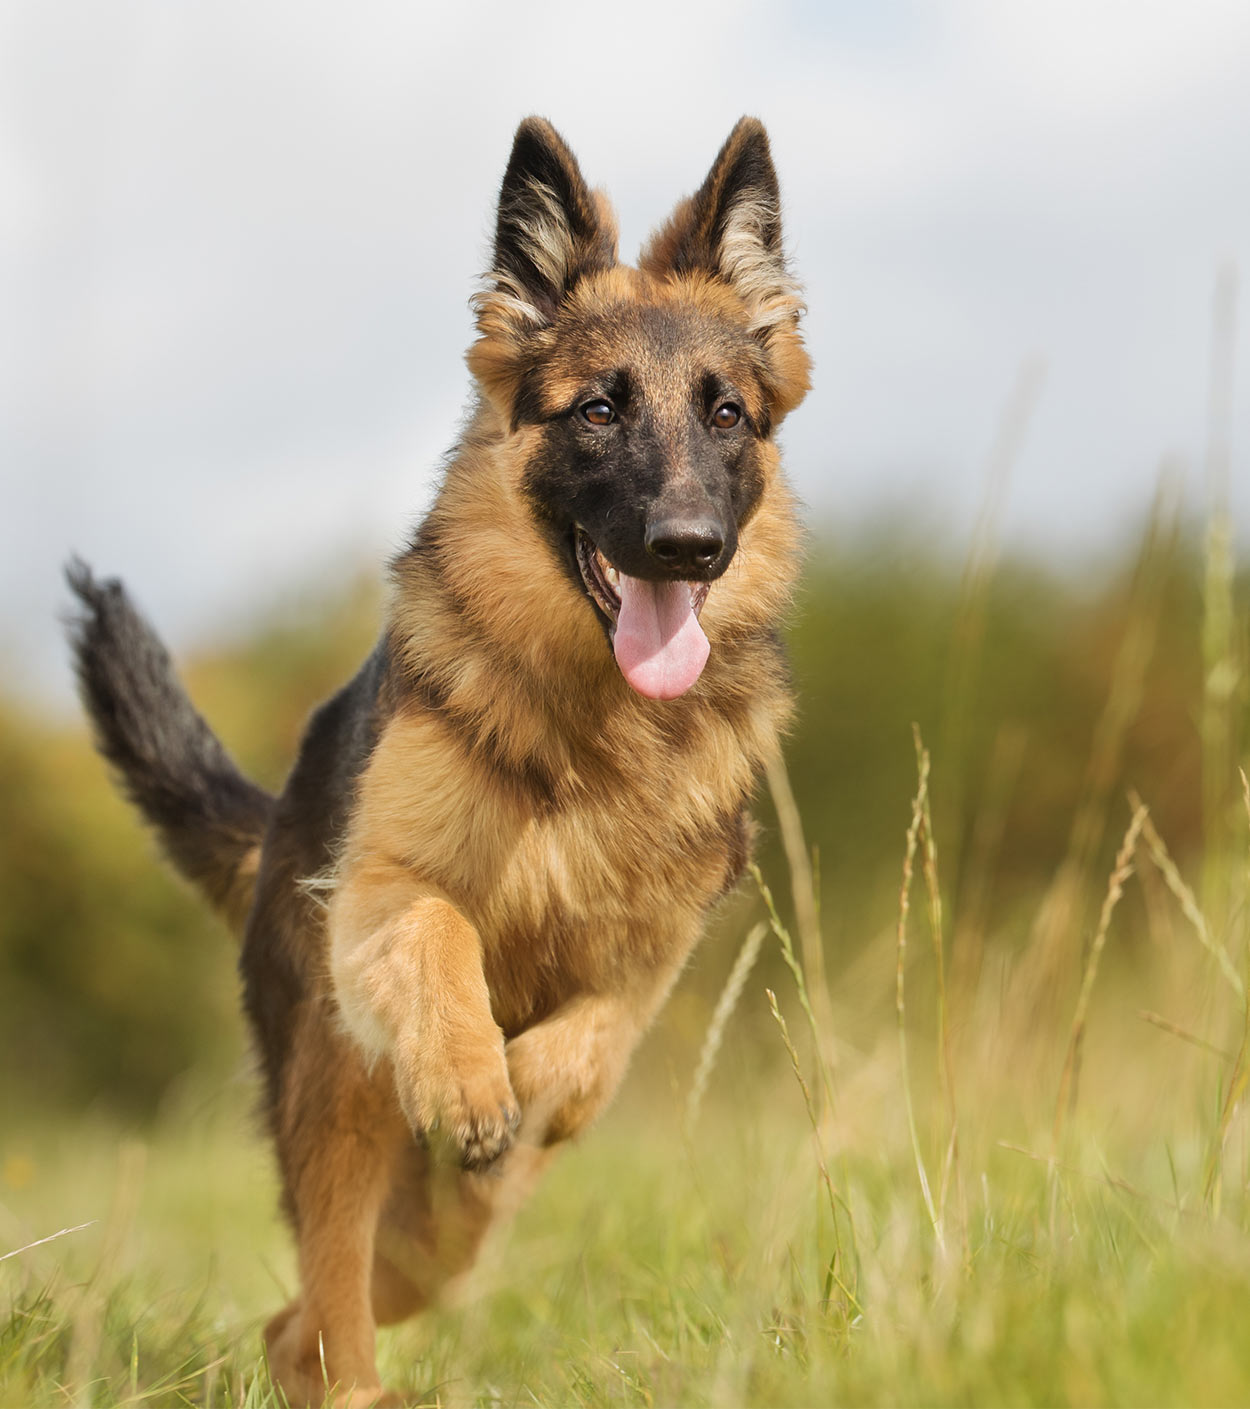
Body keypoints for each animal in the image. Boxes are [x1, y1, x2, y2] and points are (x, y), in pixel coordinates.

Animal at [68, 115, 811, 1403]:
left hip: (429, 1222)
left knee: (361, 1284)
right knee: (330, 1300)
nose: (685, 545)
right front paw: (467, 1075)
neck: (591, 727)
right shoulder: (381, 887)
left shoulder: (653, 948)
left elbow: (591, 1037)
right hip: (337, 1098)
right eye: (597, 411)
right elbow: (442, 932)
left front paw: (522, 1086)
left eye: (725, 413)